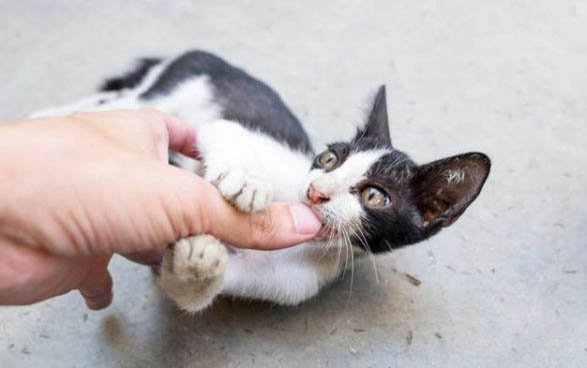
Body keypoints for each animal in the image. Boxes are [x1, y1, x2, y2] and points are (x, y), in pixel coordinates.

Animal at [31, 50, 492, 312]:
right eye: (329, 158)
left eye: (376, 196)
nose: (316, 191)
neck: (307, 246)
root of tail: (190, 51)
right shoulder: (227, 129)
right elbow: (225, 133)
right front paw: (246, 178)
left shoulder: (291, 283)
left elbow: (183, 290)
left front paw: (197, 264)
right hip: (157, 95)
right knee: (107, 103)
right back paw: (44, 119)